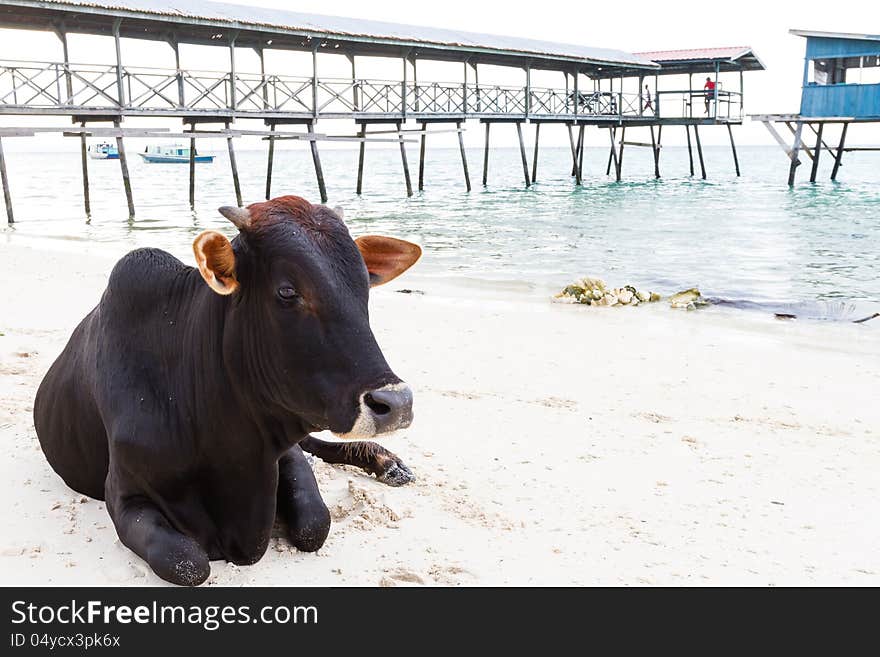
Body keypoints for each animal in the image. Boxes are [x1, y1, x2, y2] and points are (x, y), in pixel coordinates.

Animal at [33, 195, 420, 584]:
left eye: (364, 286)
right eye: (287, 291)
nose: (397, 403)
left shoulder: (280, 449)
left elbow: (315, 524)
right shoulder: (124, 493)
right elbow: (189, 562)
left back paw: (388, 463)